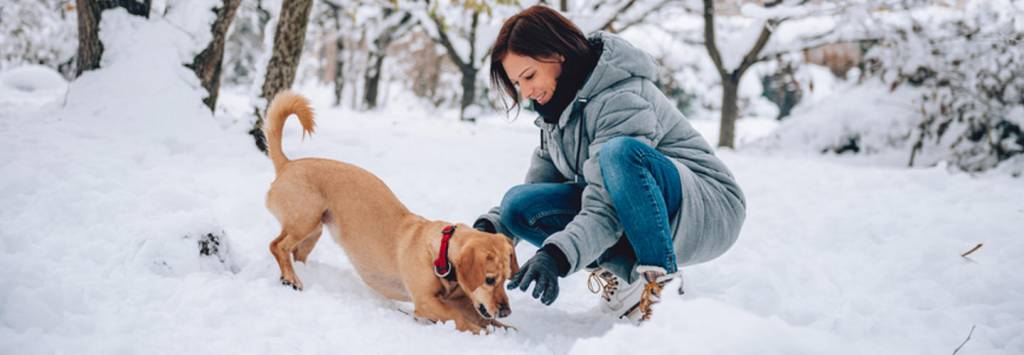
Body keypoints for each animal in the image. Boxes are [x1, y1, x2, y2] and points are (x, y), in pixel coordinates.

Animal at [264, 91, 520, 333]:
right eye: (489, 279)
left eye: (506, 279)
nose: (506, 311)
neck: (441, 251)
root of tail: (287, 164)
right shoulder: (427, 302)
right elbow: (460, 320)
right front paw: (480, 332)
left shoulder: (463, 300)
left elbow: (484, 317)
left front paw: (505, 329)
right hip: (304, 221)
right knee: (277, 246)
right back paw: (291, 277)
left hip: (314, 231)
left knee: (296, 253)